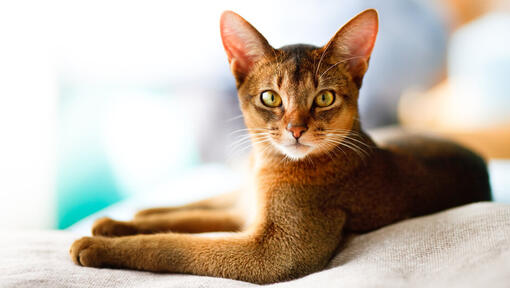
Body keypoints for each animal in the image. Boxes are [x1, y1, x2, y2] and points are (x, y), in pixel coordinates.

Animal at [69, 9, 492, 284]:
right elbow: (189, 223)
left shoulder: (277, 253)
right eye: (270, 98)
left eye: (324, 98)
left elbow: (180, 245)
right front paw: (115, 227)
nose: (296, 130)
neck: (268, 165)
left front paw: (97, 245)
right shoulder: (253, 217)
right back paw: (127, 215)